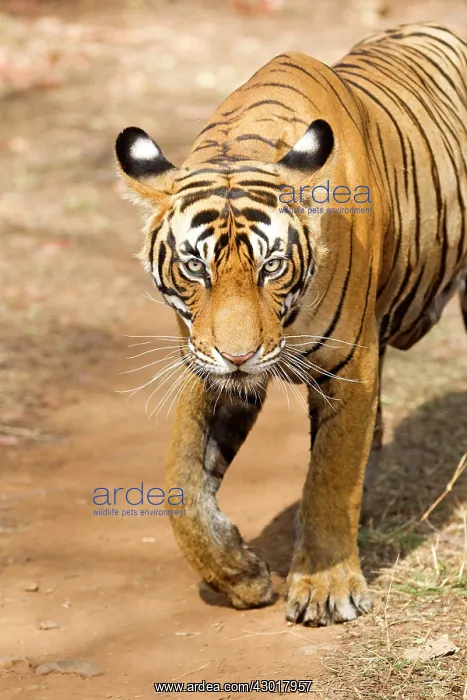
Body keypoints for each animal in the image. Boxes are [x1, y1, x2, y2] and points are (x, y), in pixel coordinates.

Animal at [115, 22, 467, 626]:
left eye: (272, 266)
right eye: (195, 267)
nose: (239, 356)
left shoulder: (350, 364)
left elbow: (329, 472)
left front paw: (326, 588)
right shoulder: (206, 368)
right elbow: (181, 482)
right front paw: (239, 576)